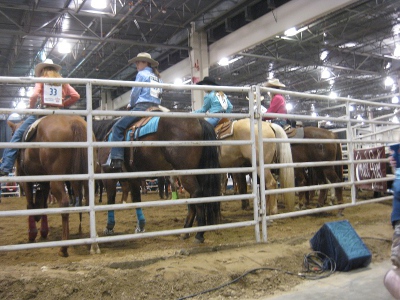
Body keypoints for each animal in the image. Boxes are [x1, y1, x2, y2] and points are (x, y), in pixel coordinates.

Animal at [9, 115, 98, 258]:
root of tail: (74, 123)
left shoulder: (25, 179)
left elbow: (30, 205)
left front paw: (32, 233)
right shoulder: (44, 181)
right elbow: (44, 205)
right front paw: (43, 230)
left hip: (56, 179)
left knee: (64, 203)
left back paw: (63, 248)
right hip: (86, 176)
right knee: (89, 202)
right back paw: (93, 244)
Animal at [93, 117, 222, 244]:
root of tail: (199, 121)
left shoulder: (108, 177)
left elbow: (110, 200)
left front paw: (109, 227)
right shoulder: (133, 178)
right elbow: (136, 200)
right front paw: (140, 226)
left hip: (186, 172)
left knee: (197, 194)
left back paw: (199, 234)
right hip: (197, 171)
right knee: (193, 198)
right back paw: (186, 231)